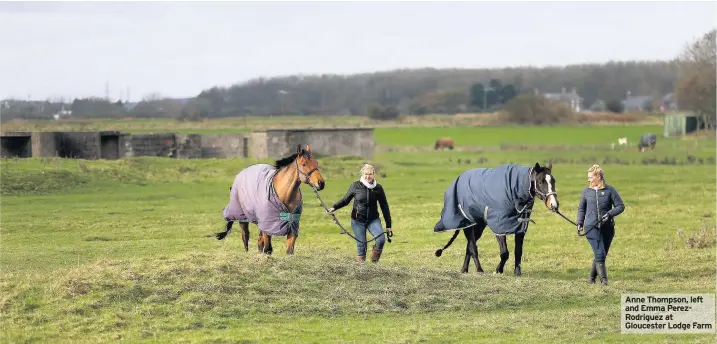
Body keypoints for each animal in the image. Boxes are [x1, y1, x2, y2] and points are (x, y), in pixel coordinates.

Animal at [430, 162, 560, 276]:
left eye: (553, 181)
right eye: (540, 182)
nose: (554, 204)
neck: (513, 189)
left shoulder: (520, 227)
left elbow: (518, 251)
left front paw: (517, 272)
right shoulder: (499, 226)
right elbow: (504, 253)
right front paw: (498, 270)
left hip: (479, 226)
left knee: (469, 247)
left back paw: (464, 269)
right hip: (468, 224)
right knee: (472, 247)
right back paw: (479, 270)